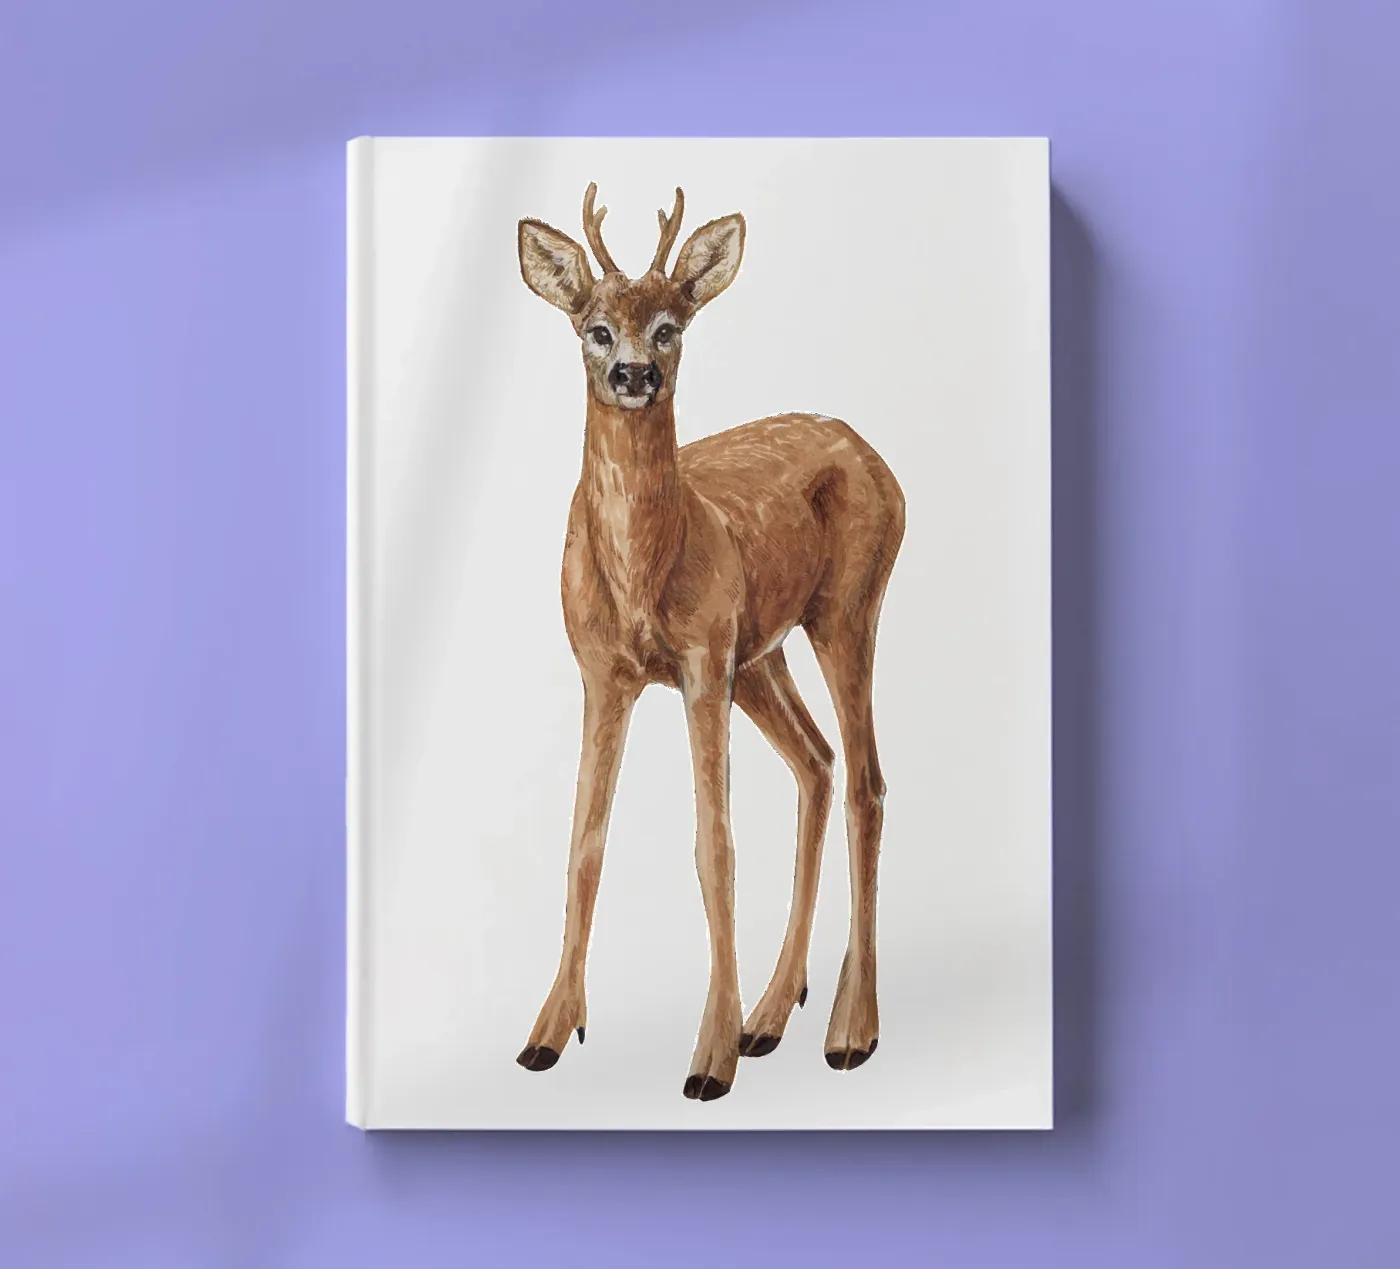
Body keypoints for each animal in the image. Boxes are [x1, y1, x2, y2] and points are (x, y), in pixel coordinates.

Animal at [514, 183, 905, 1102]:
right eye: (594, 326)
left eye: (670, 325)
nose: (635, 374)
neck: (643, 572)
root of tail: (878, 459)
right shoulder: (604, 672)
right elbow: (585, 842)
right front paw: (550, 1031)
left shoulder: (699, 662)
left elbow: (713, 845)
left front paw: (708, 1058)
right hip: (762, 653)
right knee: (818, 761)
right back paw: (772, 1013)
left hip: (845, 609)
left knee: (866, 779)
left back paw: (848, 1030)